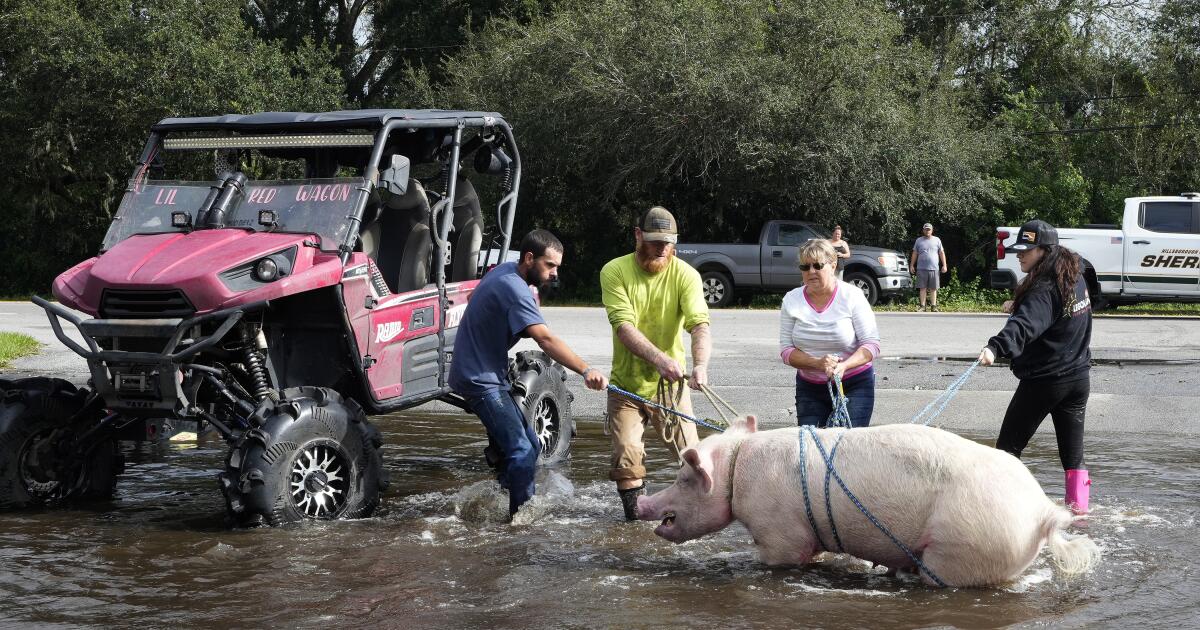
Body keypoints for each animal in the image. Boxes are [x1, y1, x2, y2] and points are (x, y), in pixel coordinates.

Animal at [638, 415, 1099, 588]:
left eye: (683, 478)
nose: (643, 503)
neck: (737, 470)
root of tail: (1041, 512)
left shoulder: (780, 533)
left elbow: (781, 558)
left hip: (963, 547)